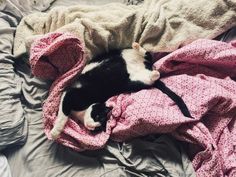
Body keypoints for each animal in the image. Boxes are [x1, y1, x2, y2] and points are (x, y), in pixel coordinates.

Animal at [50, 42, 192, 140]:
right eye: (98, 117)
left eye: (99, 123)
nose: (93, 126)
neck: (81, 113)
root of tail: (145, 67)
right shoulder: (68, 96)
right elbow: (63, 115)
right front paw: (56, 132)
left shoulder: (69, 96)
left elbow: (63, 116)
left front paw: (54, 133)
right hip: (128, 65)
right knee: (148, 57)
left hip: (134, 82)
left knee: (149, 60)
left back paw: (152, 68)